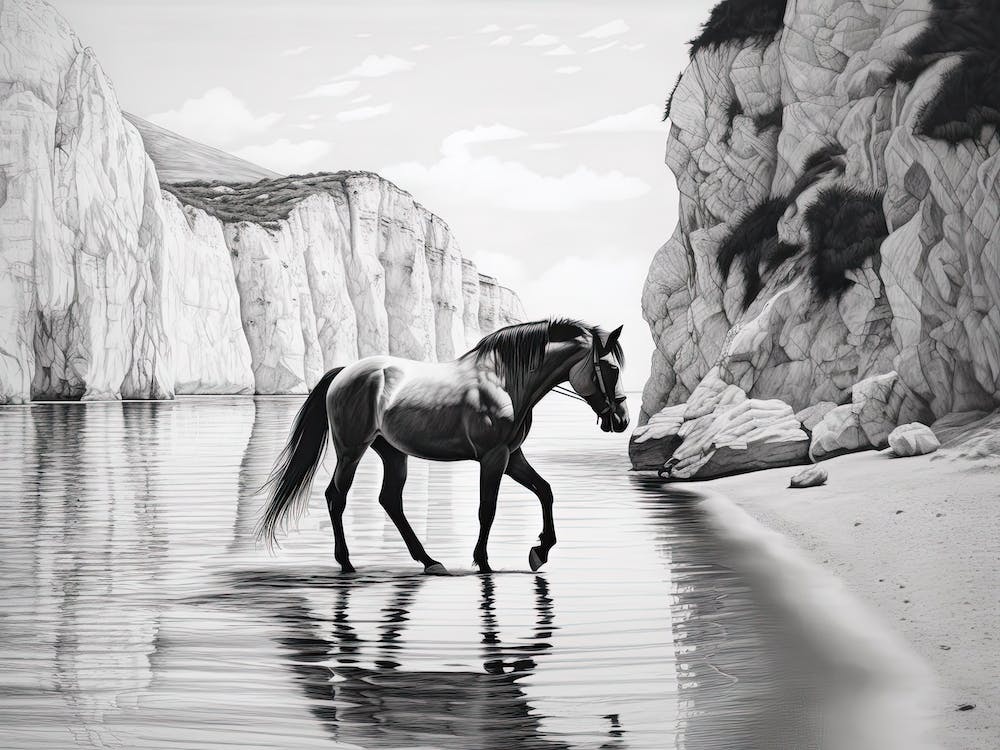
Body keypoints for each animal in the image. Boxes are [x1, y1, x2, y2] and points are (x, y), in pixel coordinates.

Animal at [257, 318, 628, 575]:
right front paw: (484, 562)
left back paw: (429, 561)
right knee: (337, 497)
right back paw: (347, 564)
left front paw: (540, 551)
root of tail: (345, 372)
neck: (504, 382)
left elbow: (545, 491)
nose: (621, 419)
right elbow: (487, 509)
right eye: (610, 368)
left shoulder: (512, 456)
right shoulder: (494, 458)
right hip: (351, 450)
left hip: (392, 452)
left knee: (390, 500)